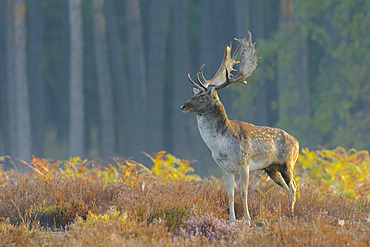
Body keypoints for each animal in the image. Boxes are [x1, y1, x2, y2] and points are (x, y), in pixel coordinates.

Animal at [181, 32, 300, 224]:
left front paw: (247, 220)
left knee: (294, 186)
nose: (182, 106)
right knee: (288, 188)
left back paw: (291, 213)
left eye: (203, 98)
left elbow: (244, 193)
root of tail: (298, 143)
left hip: (287, 163)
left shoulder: (244, 163)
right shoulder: (225, 167)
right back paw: (287, 212)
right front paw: (231, 220)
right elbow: (230, 194)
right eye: (196, 94)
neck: (220, 146)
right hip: (271, 168)